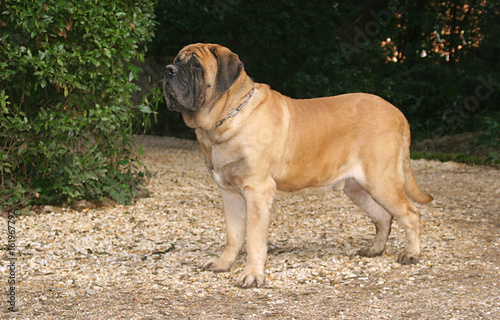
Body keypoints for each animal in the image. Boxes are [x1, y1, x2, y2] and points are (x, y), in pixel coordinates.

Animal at [162, 43, 432, 288]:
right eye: (177, 59)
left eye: (196, 66)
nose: (168, 70)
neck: (226, 118)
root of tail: (397, 113)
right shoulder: (230, 194)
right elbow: (234, 235)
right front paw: (223, 263)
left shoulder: (257, 192)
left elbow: (253, 238)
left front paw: (252, 275)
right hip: (358, 188)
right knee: (384, 217)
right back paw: (374, 249)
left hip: (382, 181)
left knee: (411, 214)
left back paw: (411, 254)